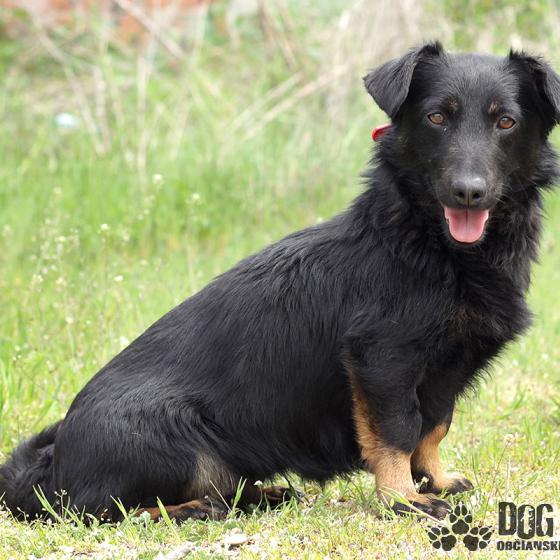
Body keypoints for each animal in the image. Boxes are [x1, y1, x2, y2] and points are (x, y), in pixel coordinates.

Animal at [1, 42, 559, 522]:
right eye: (436, 117)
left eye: (506, 121)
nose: (469, 192)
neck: (428, 244)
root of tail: (51, 467)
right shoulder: (382, 359)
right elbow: (398, 431)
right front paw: (403, 499)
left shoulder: (447, 365)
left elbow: (435, 424)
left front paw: (435, 479)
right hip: (174, 439)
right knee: (105, 508)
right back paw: (194, 509)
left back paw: (263, 494)